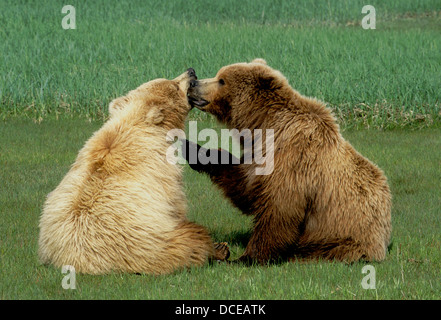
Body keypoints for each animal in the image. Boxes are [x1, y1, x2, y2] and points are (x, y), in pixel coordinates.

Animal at [38, 70, 229, 276]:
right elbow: (175, 203)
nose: (190, 71)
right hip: (151, 245)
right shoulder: (161, 169)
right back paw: (218, 249)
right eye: (174, 85)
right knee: (192, 239)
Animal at [184, 58, 390, 264]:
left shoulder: (293, 159)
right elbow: (244, 184)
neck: (263, 125)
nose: (193, 84)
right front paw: (192, 148)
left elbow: (279, 208)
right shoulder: (261, 154)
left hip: (341, 237)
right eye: (219, 75)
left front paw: (248, 257)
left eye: (222, 80)